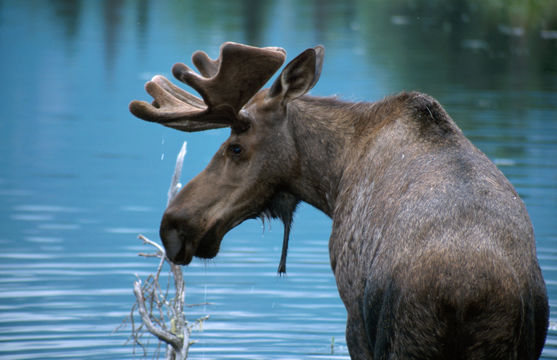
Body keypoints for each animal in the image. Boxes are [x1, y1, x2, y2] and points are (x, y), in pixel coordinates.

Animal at [129, 43, 548, 360]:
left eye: (235, 147)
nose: (173, 225)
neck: (334, 176)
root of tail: (467, 295)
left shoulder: (354, 318)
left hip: (402, 339)